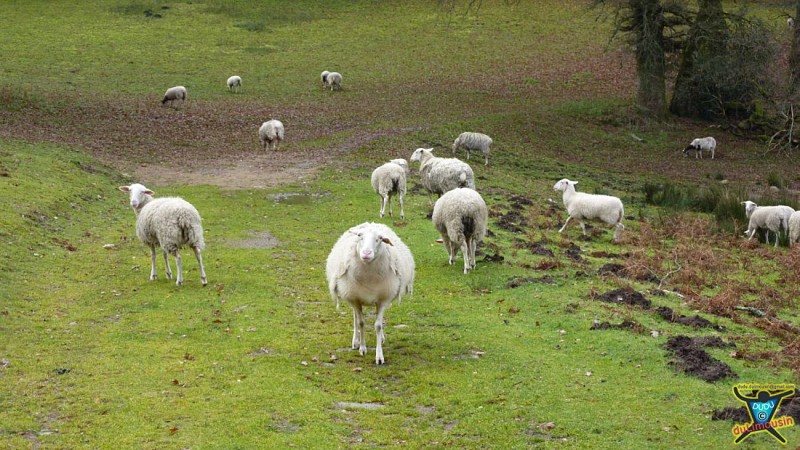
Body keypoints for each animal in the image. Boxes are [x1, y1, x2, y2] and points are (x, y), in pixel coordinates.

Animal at [324, 222, 416, 366]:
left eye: (379, 239)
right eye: (360, 236)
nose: (366, 253)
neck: (368, 277)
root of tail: (371, 223)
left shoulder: (382, 300)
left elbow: (378, 325)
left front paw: (379, 356)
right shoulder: (356, 299)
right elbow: (361, 322)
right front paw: (362, 348)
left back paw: (381, 337)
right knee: (355, 318)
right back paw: (355, 341)